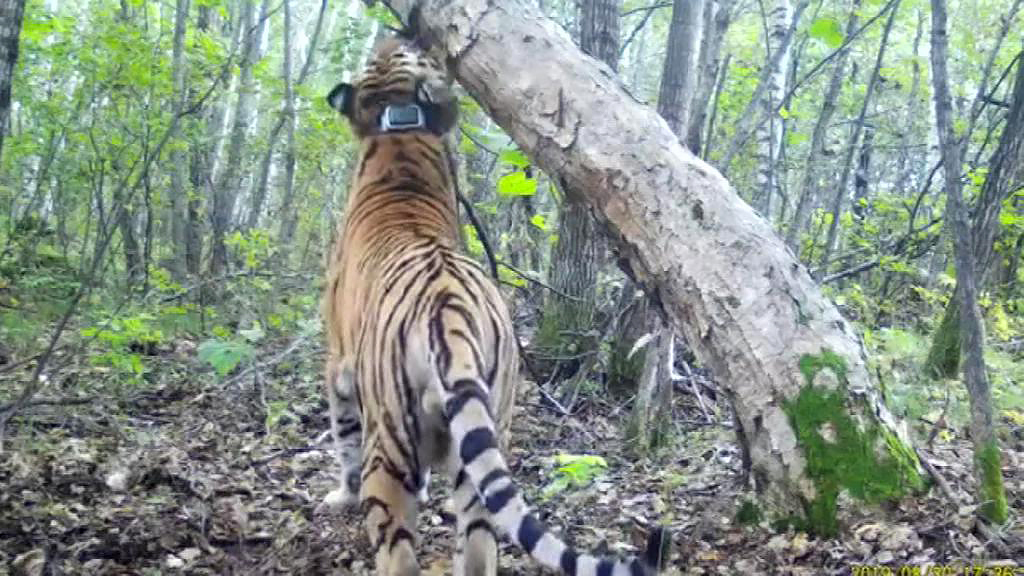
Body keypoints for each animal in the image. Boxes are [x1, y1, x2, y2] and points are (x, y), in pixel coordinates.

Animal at [320, 25, 668, 576]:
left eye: (393, 52)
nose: (396, 32)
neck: (401, 135)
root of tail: (449, 315)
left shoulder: (337, 361)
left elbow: (343, 436)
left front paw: (339, 496)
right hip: (484, 444)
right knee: (481, 545)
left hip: (390, 450)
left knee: (397, 548)